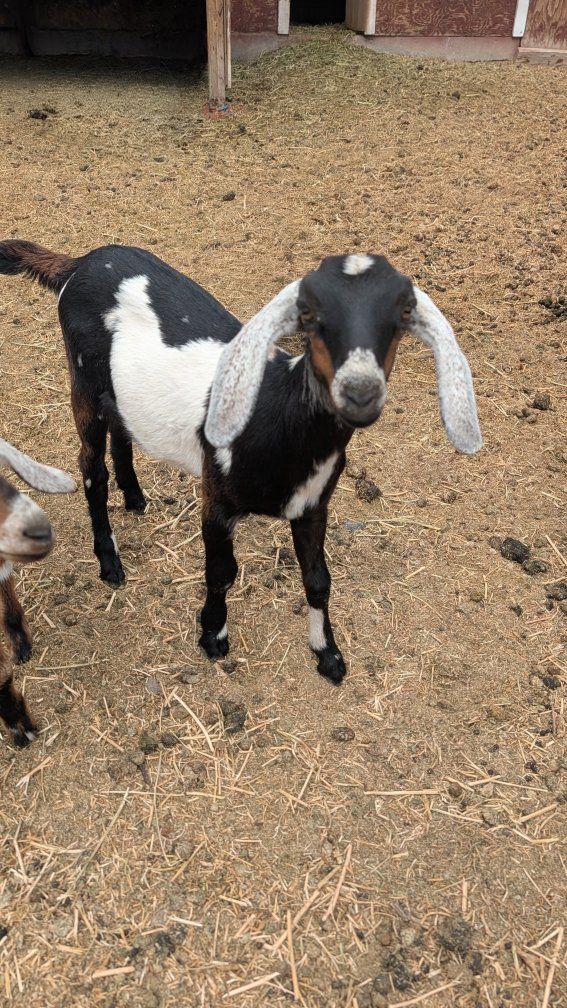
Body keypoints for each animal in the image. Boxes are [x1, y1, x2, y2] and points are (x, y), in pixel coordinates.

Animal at [0, 241, 482, 685]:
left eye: (402, 315)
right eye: (309, 313)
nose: (360, 392)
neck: (275, 411)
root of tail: (80, 263)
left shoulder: (312, 504)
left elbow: (318, 579)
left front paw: (329, 656)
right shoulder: (217, 498)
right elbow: (222, 573)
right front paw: (213, 637)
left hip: (118, 389)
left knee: (123, 427)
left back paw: (134, 496)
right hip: (83, 377)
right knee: (90, 468)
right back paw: (109, 561)